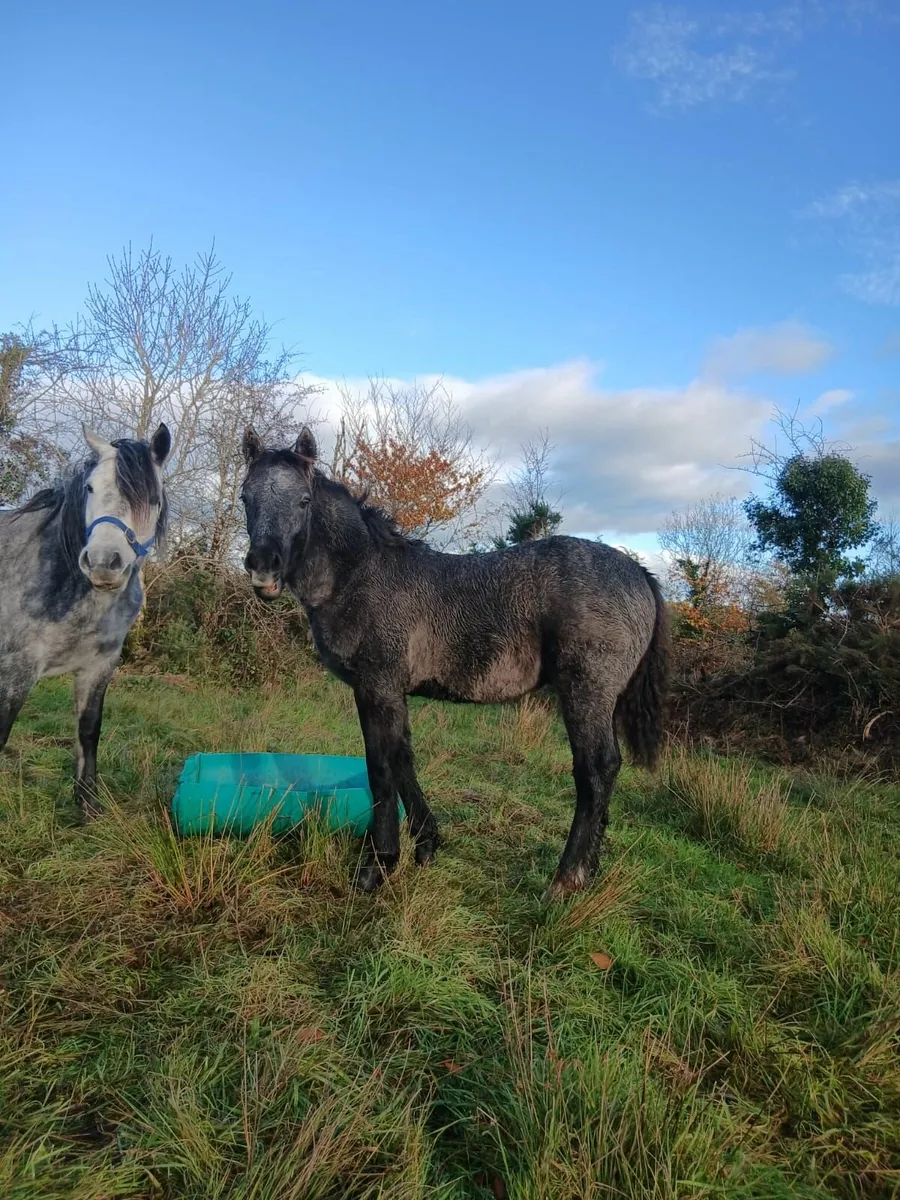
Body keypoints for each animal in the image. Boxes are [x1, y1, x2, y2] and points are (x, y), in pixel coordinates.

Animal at [0, 423, 171, 815]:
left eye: (152, 497)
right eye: (90, 487)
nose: (103, 562)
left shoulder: (99, 665)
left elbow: (89, 729)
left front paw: (88, 806)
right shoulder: (17, 669)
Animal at [240, 425, 669, 899]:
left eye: (304, 501)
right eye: (245, 497)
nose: (263, 567)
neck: (360, 575)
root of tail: (641, 573)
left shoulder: (377, 688)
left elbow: (381, 767)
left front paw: (377, 866)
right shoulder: (385, 693)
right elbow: (403, 759)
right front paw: (426, 845)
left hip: (586, 693)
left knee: (596, 770)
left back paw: (565, 880)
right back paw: (587, 873)